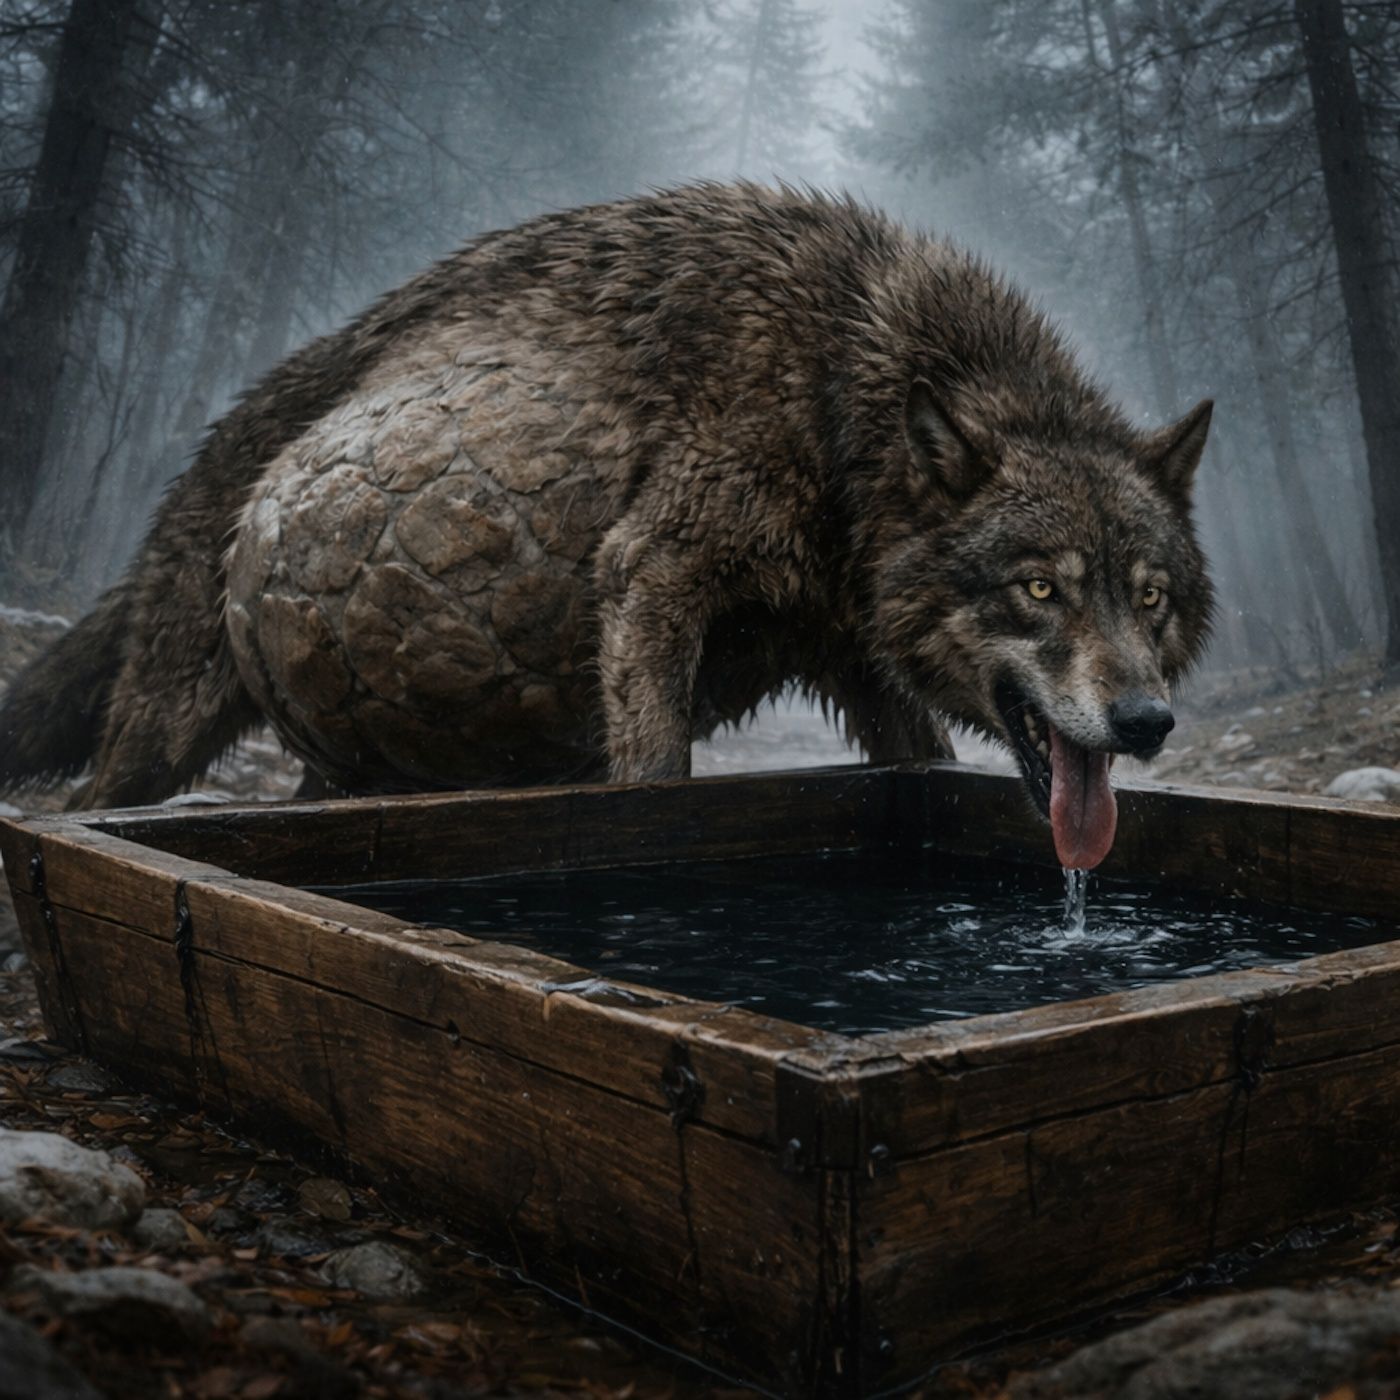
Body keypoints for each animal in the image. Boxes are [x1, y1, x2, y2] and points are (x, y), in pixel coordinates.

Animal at [0, 184, 1212, 868]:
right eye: (1040, 588)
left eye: (1149, 596)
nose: (1146, 719)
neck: (838, 397)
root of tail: (223, 440)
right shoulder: (653, 568)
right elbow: (655, 769)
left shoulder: (847, 652)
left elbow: (915, 756)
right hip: (166, 727)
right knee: (92, 797)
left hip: (353, 759)